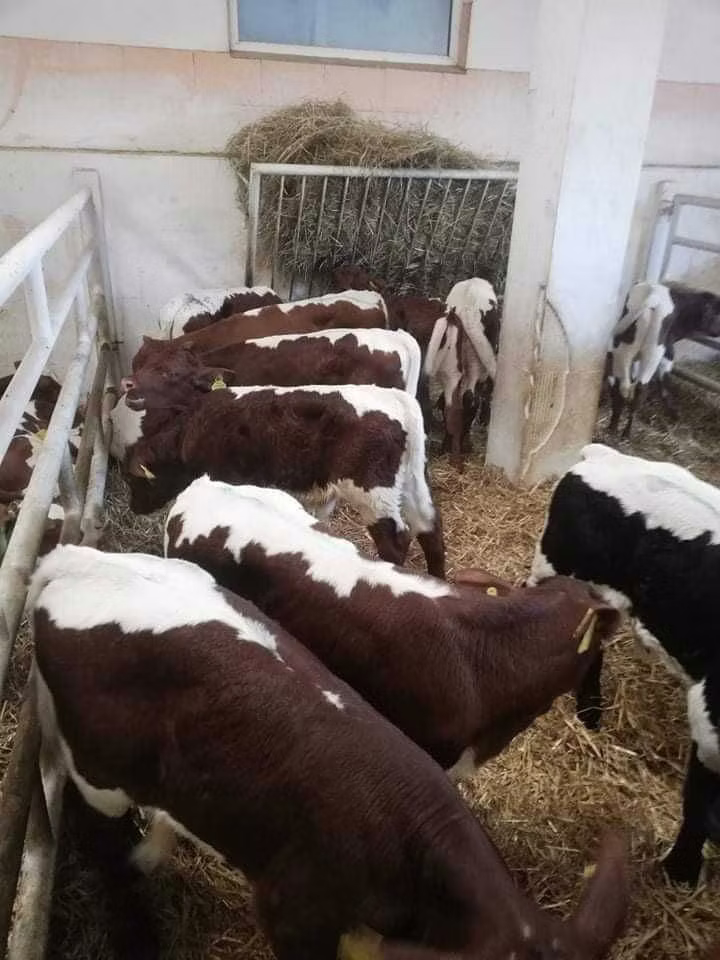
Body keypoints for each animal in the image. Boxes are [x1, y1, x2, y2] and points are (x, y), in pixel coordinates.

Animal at [111, 383, 446, 578]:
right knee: (429, 528)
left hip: (371, 491)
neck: (190, 432)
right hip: (413, 482)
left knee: (396, 541)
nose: (134, 507)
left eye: (134, 480)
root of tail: (395, 398)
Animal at [529, 442, 720, 885]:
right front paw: (680, 872)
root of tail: (603, 455)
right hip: (554, 568)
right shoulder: (709, 718)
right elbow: (699, 807)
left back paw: (590, 714)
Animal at [608, 282, 720, 438]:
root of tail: (653, 296)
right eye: (716, 313)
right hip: (652, 352)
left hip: (629, 352)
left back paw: (616, 428)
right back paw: (624, 431)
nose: (718, 332)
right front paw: (674, 415)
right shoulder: (668, 352)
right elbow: (665, 384)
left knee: (627, 386)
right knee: (635, 388)